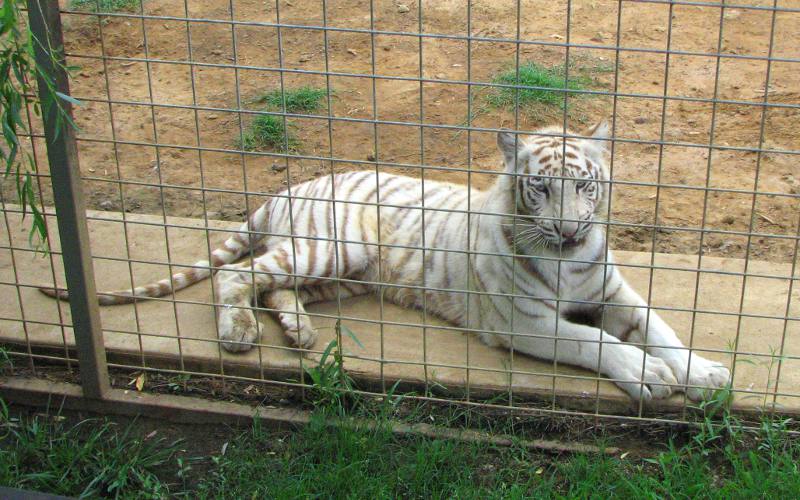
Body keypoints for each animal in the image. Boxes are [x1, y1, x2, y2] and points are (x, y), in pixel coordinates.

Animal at [42, 121, 732, 402]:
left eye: (586, 186)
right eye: (540, 188)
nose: (567, 230)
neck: (568, 259)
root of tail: (282, 192)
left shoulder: (612, 291)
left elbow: (660, 327)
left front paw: (703, 373)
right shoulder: (524, 322)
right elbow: (594, 342)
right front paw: (649, 376)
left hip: (336, 277)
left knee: (274, 289)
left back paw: (299, 332)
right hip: (331, 248)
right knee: (240, 276)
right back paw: (238, 332)